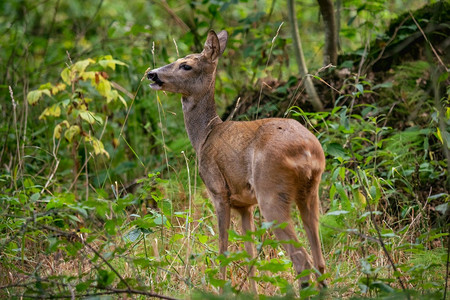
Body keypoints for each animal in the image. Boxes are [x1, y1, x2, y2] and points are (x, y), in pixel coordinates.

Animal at [148, 29, 326, 290]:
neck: (205, 135)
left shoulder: (218, 191)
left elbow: (223, 249)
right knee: (319, 260)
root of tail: (308, 151)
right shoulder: (245, 205)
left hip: (271, 192)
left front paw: (219, 288)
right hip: (311, 191)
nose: (152, 73)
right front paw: (251, 291)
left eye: (186, 65)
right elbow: (250, 254)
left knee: (301, 259)